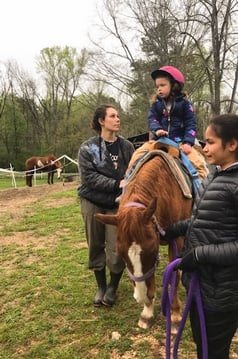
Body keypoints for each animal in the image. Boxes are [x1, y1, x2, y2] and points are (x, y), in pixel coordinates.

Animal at [94, 141, 192, 330]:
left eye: (153, 251)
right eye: (121, 253)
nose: (141, 297)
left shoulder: (176, 240)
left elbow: (173, 276)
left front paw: (175, 314)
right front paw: (147, 312)